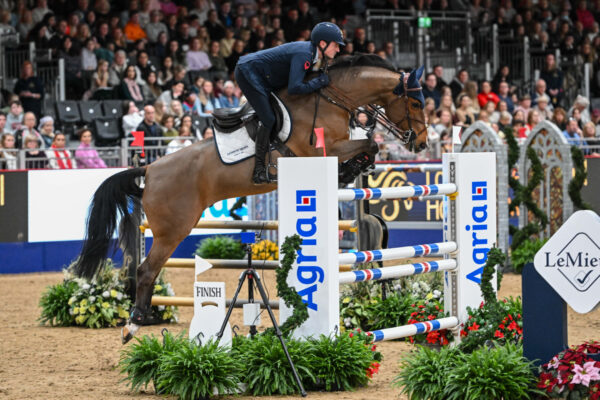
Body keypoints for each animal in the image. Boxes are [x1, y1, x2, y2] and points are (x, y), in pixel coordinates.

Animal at [74, 54, 432, 344]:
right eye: (416, 104)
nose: (422, 143)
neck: (330, 98)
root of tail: (148, 168)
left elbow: (367, 143)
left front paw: (358, 167)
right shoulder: (320, 150)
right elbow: (368, 143)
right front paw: (352, 168)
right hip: (173, 229)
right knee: (147, 270)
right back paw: (133, 325)